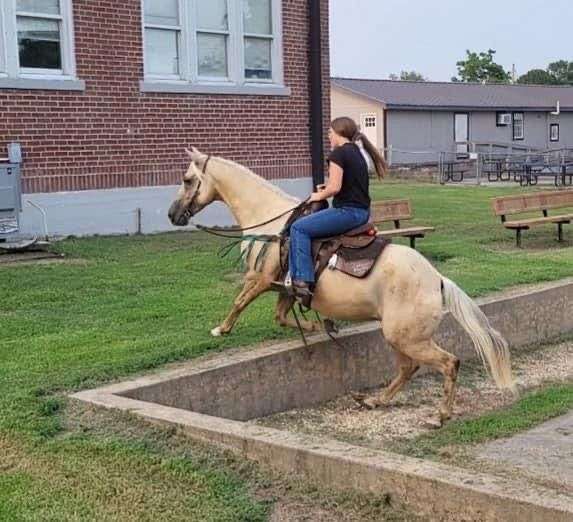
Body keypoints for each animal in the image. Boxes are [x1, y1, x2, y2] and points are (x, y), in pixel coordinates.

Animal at [169, 147, 512, 422]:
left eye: (187, 179)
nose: (173, 214)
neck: (270, 220)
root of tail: (437, 280)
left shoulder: (261, 278)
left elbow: (240, 302)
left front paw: (221, 329)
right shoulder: (287, 288)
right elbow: (281, 317)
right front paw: (322, 327)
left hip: (406, 337)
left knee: (447, 363)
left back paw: (440, 414)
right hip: (401, 336)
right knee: (407, 369)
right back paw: (375, 400)